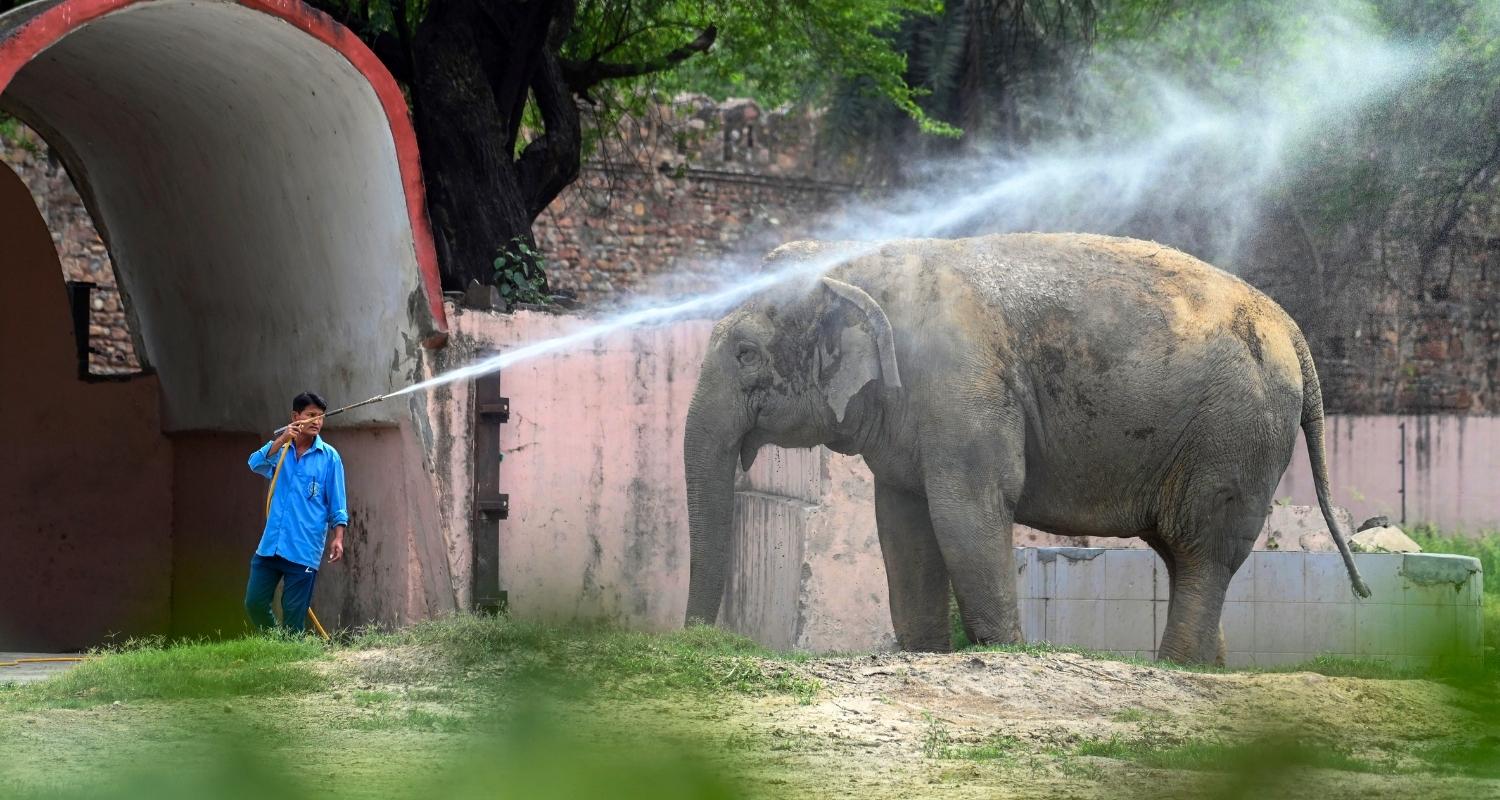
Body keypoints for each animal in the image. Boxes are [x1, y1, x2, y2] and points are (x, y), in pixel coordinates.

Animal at [683, 232, 1371, 665]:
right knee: (1183, 555)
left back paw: (1179, 670)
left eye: (746, 353)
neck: (860, 267)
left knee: (1203, 550)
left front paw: (1005, 652)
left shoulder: (964, 385)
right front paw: (926, 654)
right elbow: (902, 524)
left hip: (1236, 431)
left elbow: (967, 512)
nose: (695, 641)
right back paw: (1208, 667)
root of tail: (1293, 330)